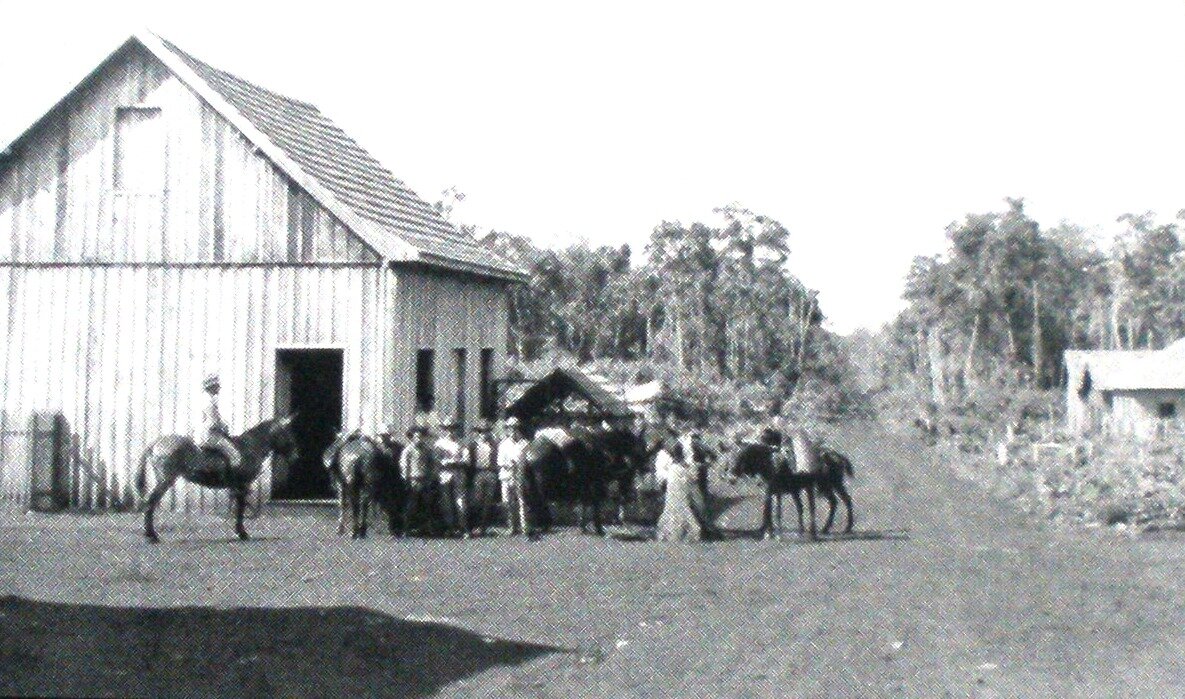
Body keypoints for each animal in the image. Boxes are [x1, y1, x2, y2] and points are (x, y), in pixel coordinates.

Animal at [135, 414, 300, 544]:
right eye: (287, 433)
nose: (295, 458)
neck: (251, 447)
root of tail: (156, 443)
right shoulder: (243, 484)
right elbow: (241, 508)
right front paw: (242, 533)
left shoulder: (239, 486)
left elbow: (240, 506)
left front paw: (240, 531)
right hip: (165, 480)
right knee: (150, 504)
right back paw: (152, 536)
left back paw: (150, 535)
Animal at [516, 424, 649, 540]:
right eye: (640, 445)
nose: (645, 466)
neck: (604, 449)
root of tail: (526, 454)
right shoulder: (596, 485)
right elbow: (595, 506)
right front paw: (599, 529)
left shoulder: (585, 487)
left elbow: (584, 505)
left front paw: (583, 527)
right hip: (541, 486)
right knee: (538, 503)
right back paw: (541, 526)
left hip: (527, 485)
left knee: (529, 503)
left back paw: (532, 528)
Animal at [725, 433, 857, 542]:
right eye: (731, 454)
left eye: (742, 454)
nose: (732, 473)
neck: (769, 464)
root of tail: (838, 456)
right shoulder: (772, 492)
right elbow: (768, 511)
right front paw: (768, 533)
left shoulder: (776, 491)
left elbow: (775, 512)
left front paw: (774, 534)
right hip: (828, 486)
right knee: (837, 501)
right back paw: (827, 528)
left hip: (829, 484)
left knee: (843, 500)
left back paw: (843, 527)